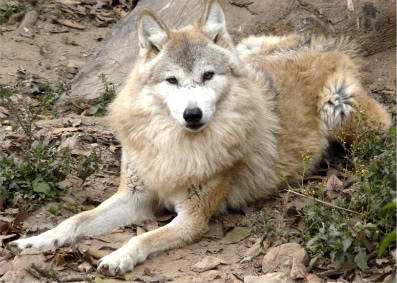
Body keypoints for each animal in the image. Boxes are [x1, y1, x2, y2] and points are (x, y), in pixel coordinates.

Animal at [10, 0, 390, 278]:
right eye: (172, 80)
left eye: (208, 76)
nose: (192, 114)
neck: (173, 146)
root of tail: (326, 46)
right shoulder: (134, 197)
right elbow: (76, 220)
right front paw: (39, 240)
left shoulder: (192, 219)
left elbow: (142, 238)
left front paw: (118, 257)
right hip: (250, 51)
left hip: (339, 111)